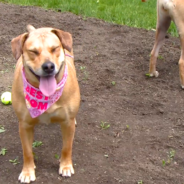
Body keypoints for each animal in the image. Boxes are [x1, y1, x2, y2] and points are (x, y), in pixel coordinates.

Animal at [11, 25, 80, 183]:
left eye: (55, 48)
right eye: (33, 51)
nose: (48, 66)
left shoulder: (67, 122)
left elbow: (67, 147)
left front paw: (65, 166)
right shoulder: (24, 125)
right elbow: (27, 151)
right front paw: (27, 171)